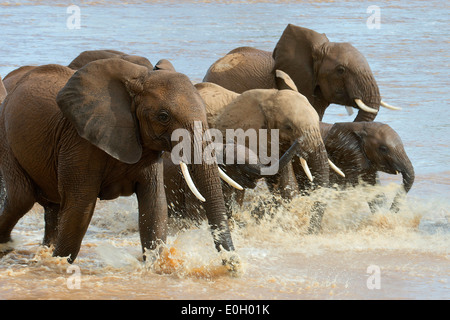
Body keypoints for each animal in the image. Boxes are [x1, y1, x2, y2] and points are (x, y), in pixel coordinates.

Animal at [0, 58, 241, 268]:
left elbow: (154, 206)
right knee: (21, 198)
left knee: (52, 206)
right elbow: (80, 207)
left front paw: (154, 266)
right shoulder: (79, 142)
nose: (235, 266)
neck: (136, 82)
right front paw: (59, 264)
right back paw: (7, 247)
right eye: (163, 116)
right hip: (6, 138)